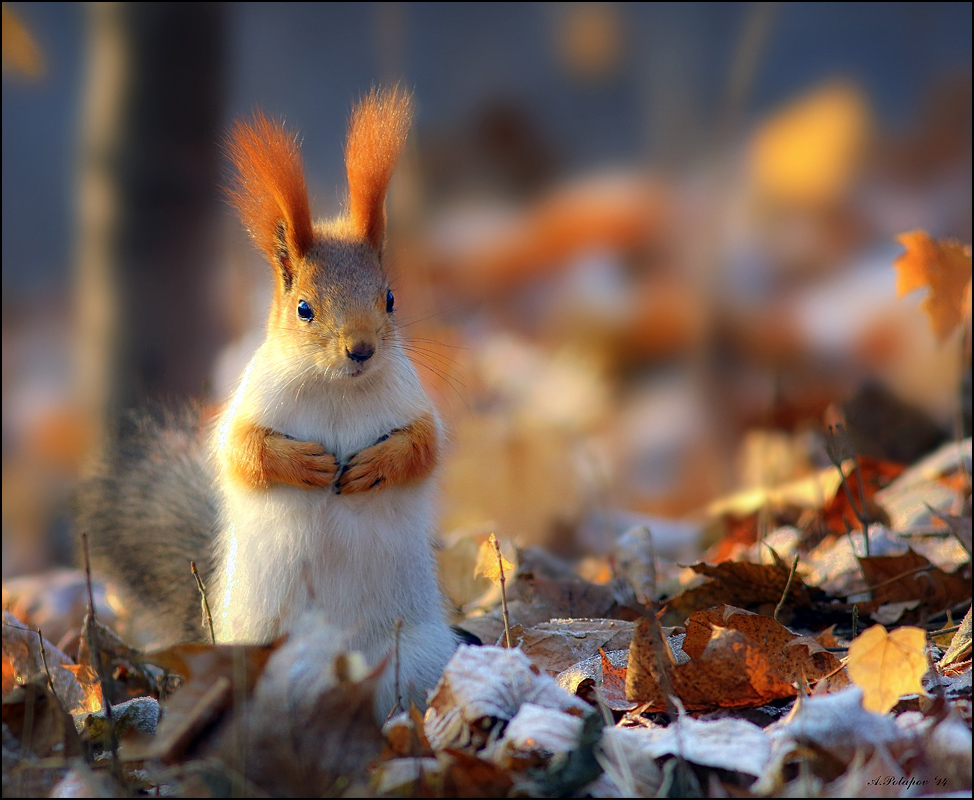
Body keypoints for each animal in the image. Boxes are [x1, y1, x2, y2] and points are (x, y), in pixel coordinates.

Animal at [77, 89, 462, 720]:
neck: (336, 388)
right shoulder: (249, 403)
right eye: (303, 308)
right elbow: (242, 452)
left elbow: (423, 446)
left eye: (389, 298)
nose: (362, 349)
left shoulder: (414, 403)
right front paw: (304, 465)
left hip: (420, 654)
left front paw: (375, 467)